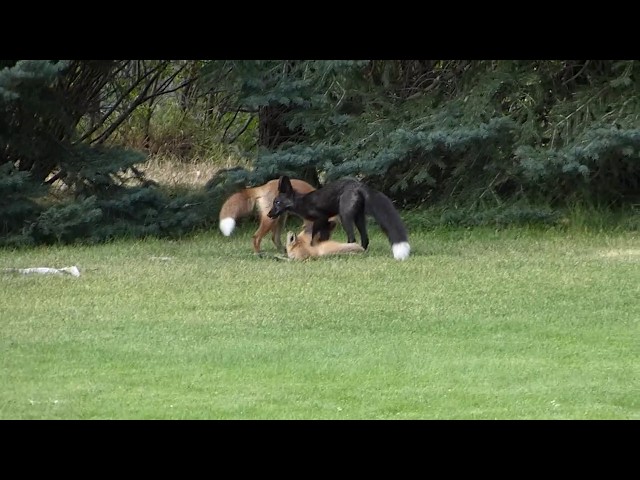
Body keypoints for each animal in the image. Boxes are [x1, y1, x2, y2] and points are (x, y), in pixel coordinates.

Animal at [268, 175, 411, 260]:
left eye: (277, 203)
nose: (269, 214)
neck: (302, 203)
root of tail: (359, 185)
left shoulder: (321, 218)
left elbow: (313, 238)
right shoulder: (326, 222)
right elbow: (321, 236)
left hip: (345, 217)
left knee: (352, 238)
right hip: (359, 218)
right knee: (365, 239)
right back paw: (362, 252)